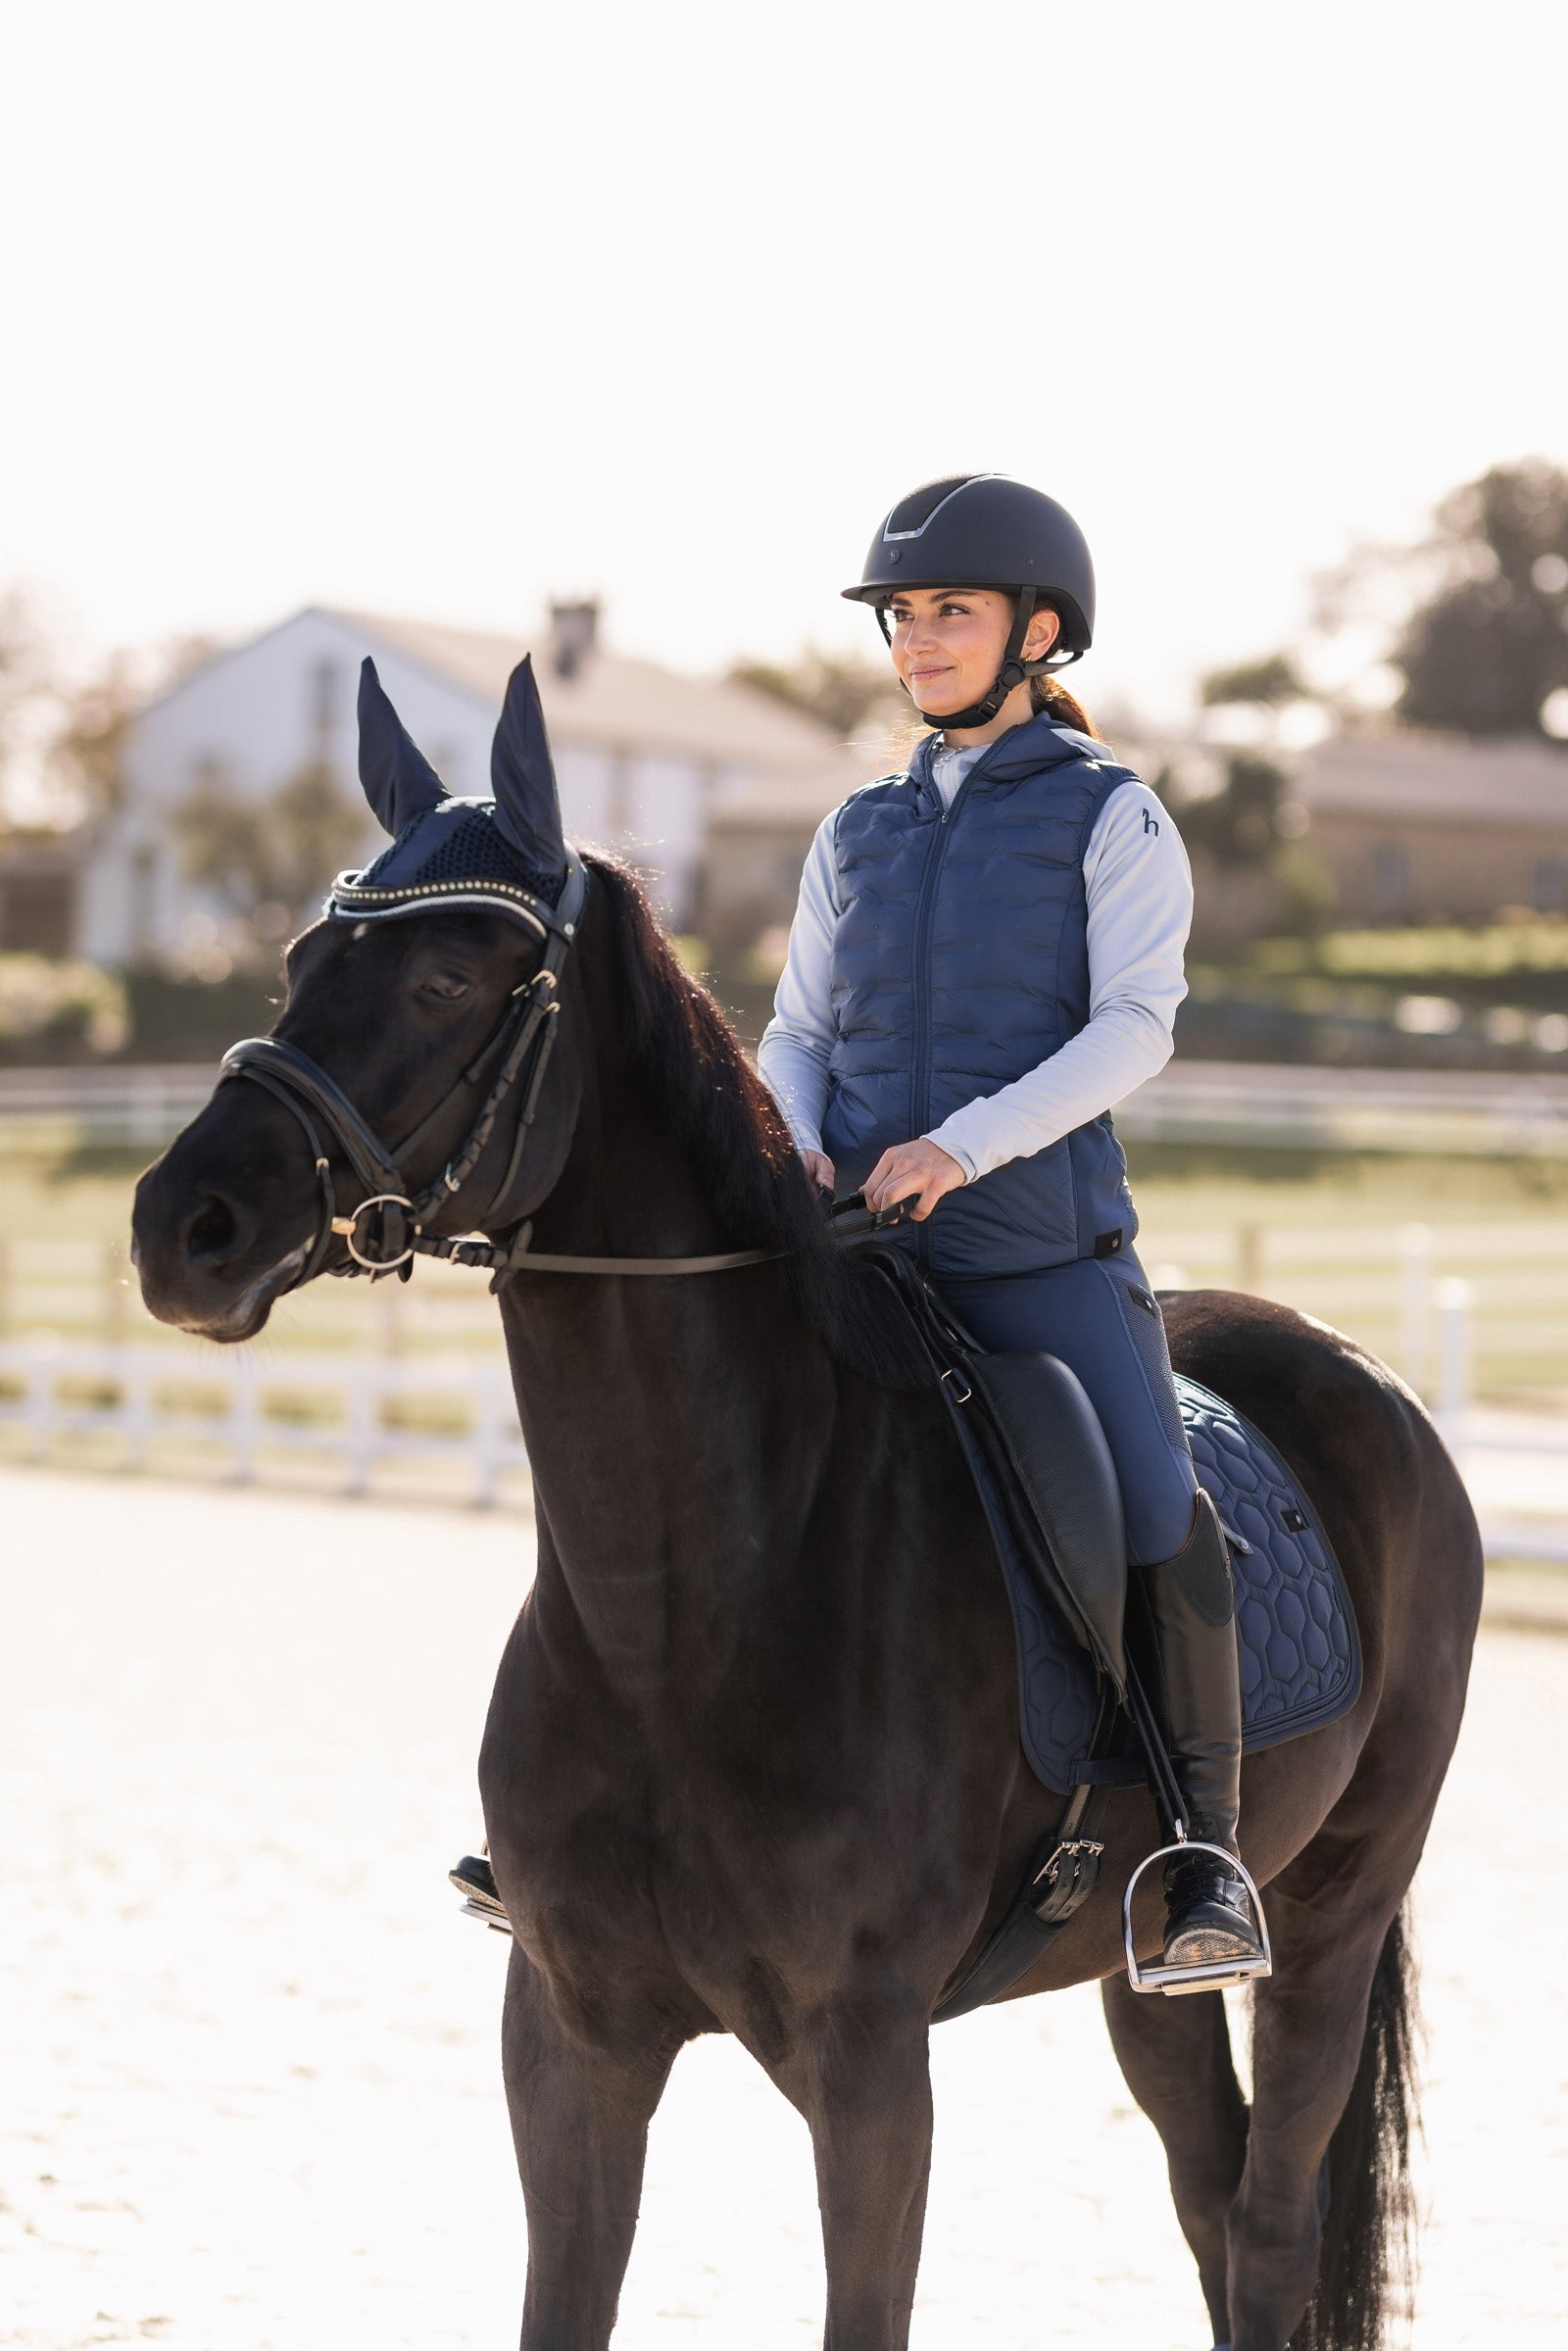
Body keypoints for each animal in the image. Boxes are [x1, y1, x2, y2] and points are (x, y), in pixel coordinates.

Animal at [130, 655, 1482, 2351]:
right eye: (302, 957)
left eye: (442, 981)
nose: (182, 1225)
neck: (693, 1602)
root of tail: (1367, 1377)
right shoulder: (569, 2033)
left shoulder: (868, 2059)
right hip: (1137, 1973)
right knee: (1210, 2198)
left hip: (1332, 1912)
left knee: (1273, 2220)